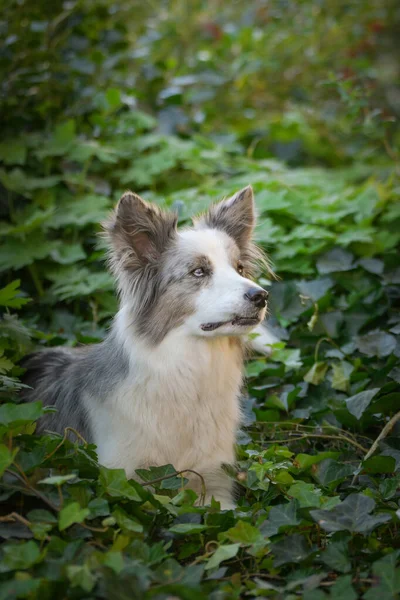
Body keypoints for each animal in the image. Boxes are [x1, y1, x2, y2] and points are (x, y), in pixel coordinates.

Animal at [22, 185, 278, 508]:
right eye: (198, 272)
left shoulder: (214, 483)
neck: (188, 376)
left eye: (240, 268)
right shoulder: (124, 479)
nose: (261, 296)